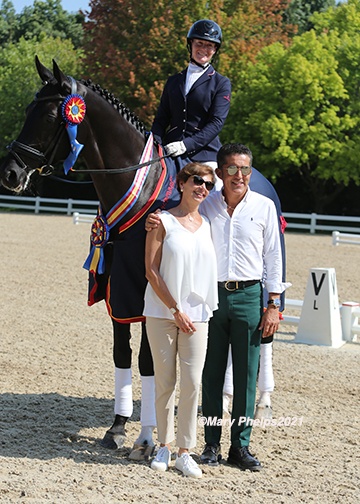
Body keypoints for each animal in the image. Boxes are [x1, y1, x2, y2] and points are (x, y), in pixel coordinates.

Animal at [0, 57, 180, 458]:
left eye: (50, 116)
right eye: (27, 110)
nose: (10, 174)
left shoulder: (148, 295)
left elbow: (147, 360)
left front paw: (147, 436)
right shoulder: (118, 293)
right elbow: (121, 355)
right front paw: (118, 427)